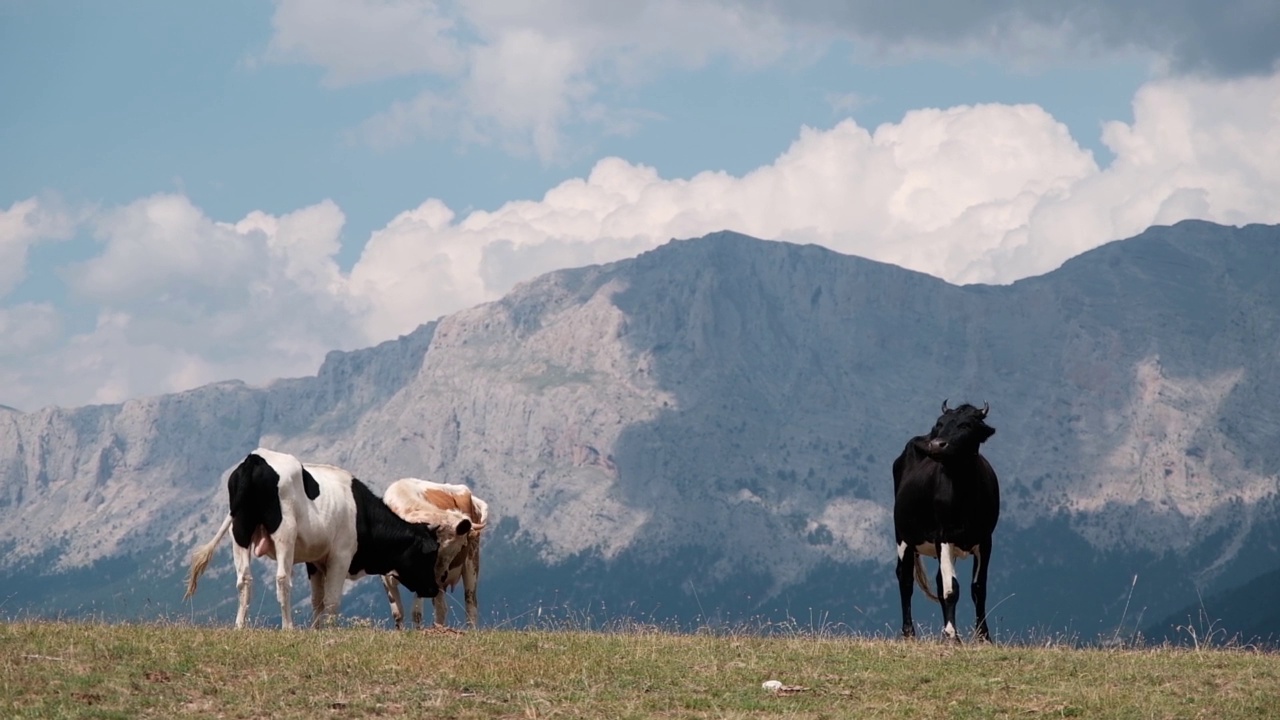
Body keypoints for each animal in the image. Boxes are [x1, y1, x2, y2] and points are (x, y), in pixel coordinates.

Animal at [183, 445, 445, 625]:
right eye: (429, 555)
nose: (434, 588)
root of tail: (255, 458)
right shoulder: (340, 555)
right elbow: (331, 600)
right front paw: (330, 632)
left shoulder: (315, 560)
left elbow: (317, 601)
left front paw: (316, 630)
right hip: (284, 531)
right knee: (282, 579)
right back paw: (288, 627)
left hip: (240, 529)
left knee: (244, 579)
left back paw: (240, 627)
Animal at [376, 476, 486, 627]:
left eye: (461, 546)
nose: (442, 575)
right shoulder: (384, 575)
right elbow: (398, 613)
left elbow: (416, 613)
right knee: (441, 608)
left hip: (472, 562)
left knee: (470, 603)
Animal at [890, 397, 998, 638]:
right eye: (940, 423)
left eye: (966, 425)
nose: (936, 445)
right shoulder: (943, 536)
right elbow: (951, 590)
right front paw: (952, 635)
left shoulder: (986, 539)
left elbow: (979, 589)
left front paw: (983, 636)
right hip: (903, 536)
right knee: (905, 579)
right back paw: (909, 632)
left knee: (938, 581)